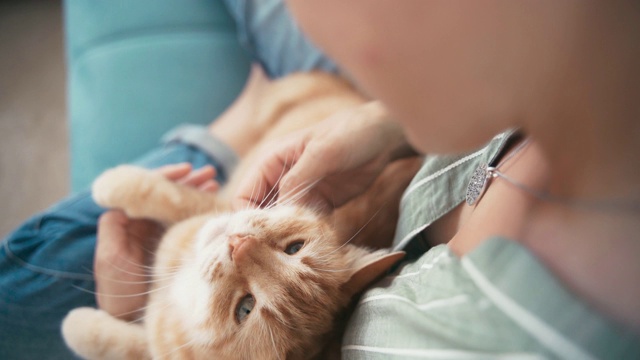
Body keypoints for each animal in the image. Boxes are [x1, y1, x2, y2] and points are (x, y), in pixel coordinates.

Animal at [60, 71, 420, 358]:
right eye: (295, 248)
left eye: (245, 308)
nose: (238, 243)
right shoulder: (214, 207)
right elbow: (171, 195)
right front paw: (118, 183)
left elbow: (123, 343)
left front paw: (77, 325)